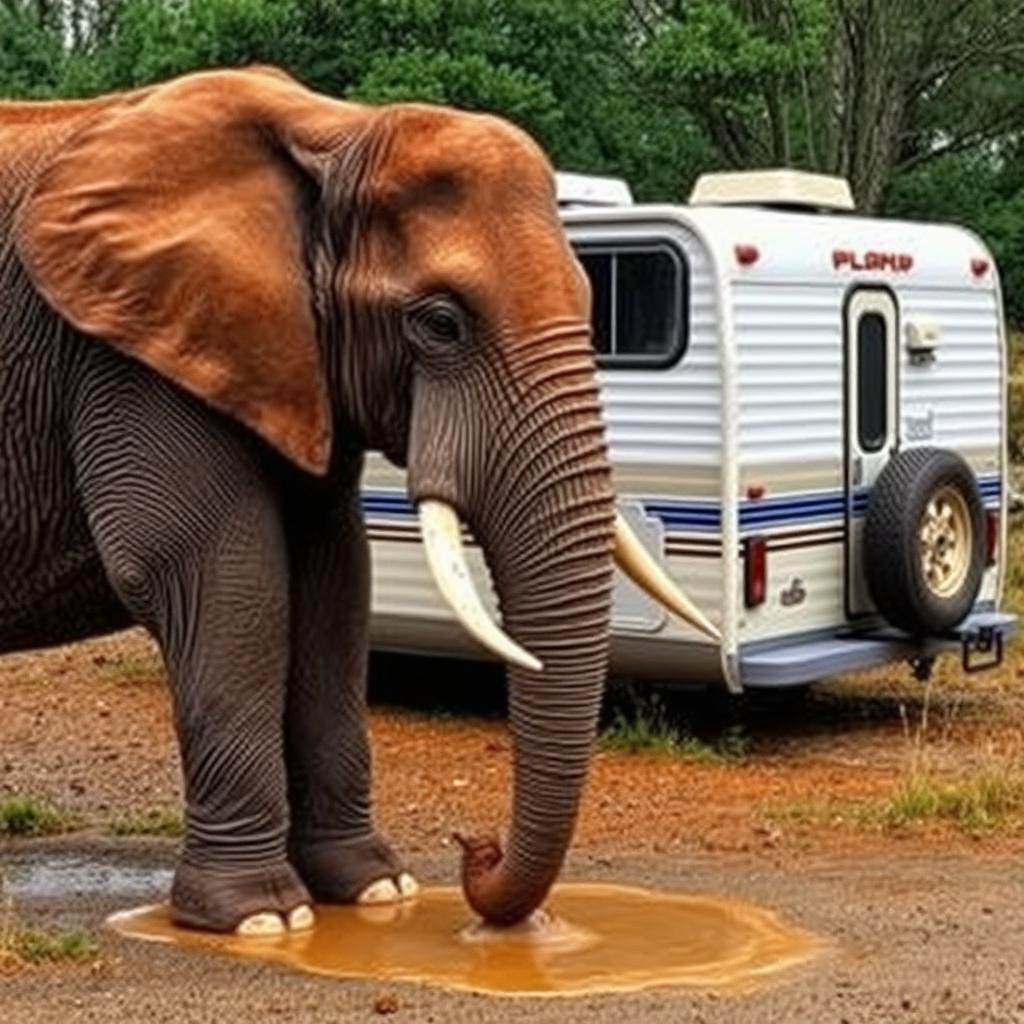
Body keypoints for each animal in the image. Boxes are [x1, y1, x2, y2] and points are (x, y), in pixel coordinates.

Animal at [0, 64, 720, 937]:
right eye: (440, 324)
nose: (473, 846)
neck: (335, 130)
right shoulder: (129, 353)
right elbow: (218, 574)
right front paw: (262, 919)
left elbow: (336, 582)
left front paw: (377, 890)